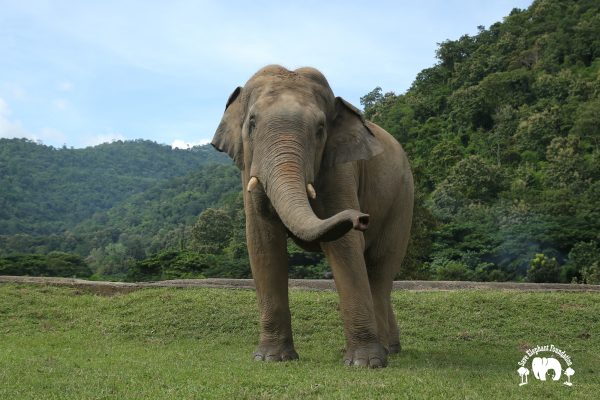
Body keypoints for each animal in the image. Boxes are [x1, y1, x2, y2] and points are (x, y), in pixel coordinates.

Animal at [211, 64, 412, 368]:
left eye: (320, 129)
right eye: (252, 123)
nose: (362, 218)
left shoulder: (340, 170)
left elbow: (345, 246)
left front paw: (364, 364)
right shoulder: (248, 169)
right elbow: (263, 243)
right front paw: (271, 358)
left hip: (402, 200)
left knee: (380, 270)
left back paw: (387, 350)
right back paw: (390, 349)